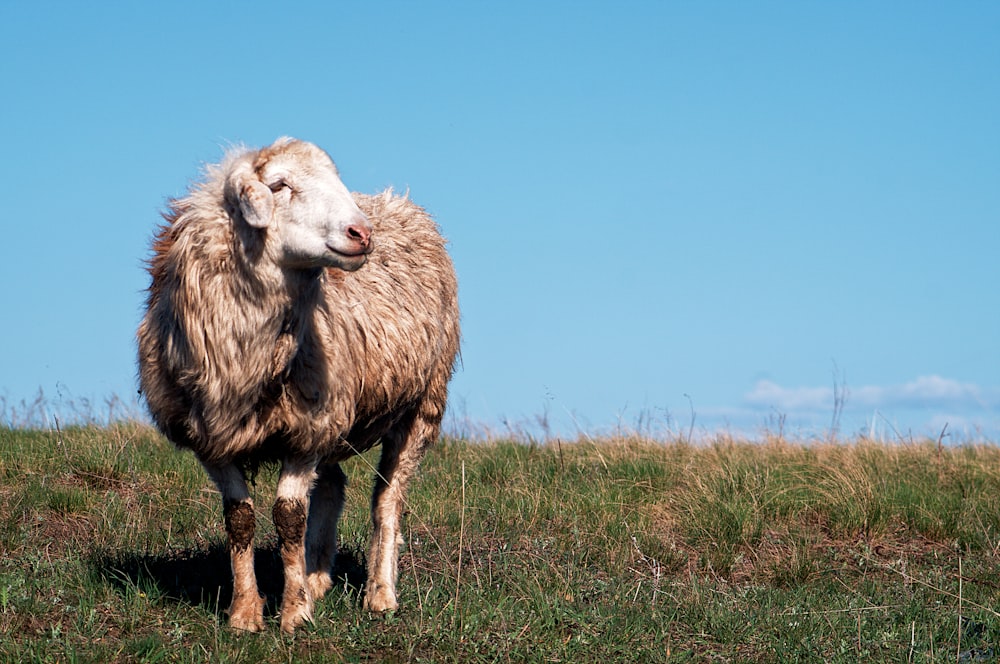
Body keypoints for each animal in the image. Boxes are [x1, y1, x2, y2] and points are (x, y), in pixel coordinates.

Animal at [137, 136, 460, 632]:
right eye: (278, 185)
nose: (362, 234)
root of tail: (397, 201)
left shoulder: (306, 432)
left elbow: (289, 518)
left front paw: (293, 614)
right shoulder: (210, 438)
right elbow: (240, 520)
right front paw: (245, 613)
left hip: (422, 405)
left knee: (387, 500)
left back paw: (380, 593)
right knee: (333, 485)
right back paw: (316, 577)